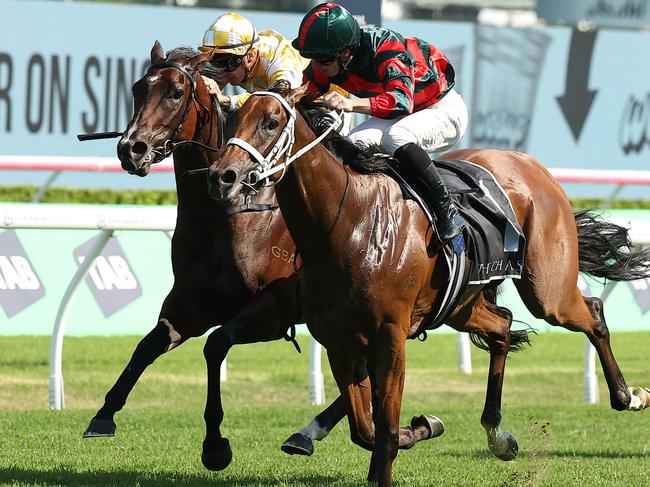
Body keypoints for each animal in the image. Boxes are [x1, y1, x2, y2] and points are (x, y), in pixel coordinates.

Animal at [81, 43, 436, 472]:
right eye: (137, 88)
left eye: (176, 93)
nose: (131, 149)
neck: (228, 214)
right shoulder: (190, 303)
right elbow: (148, 345)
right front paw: (103, 415)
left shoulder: (275, 310)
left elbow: (215, 345)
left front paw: (215, 446)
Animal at [206, 86, 648, 486]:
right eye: (232, 117)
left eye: (271, 121)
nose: (223, 177)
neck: (348, 223)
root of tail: (529, 164)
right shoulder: (337, 340)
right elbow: (364, 427)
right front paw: (419, 427)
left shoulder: (390, 335)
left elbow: (383, 428)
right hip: (461, 306)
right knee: (504, 325)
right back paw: (498, 434)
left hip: (547, 291)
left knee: (592, 314)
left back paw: (628, 396)